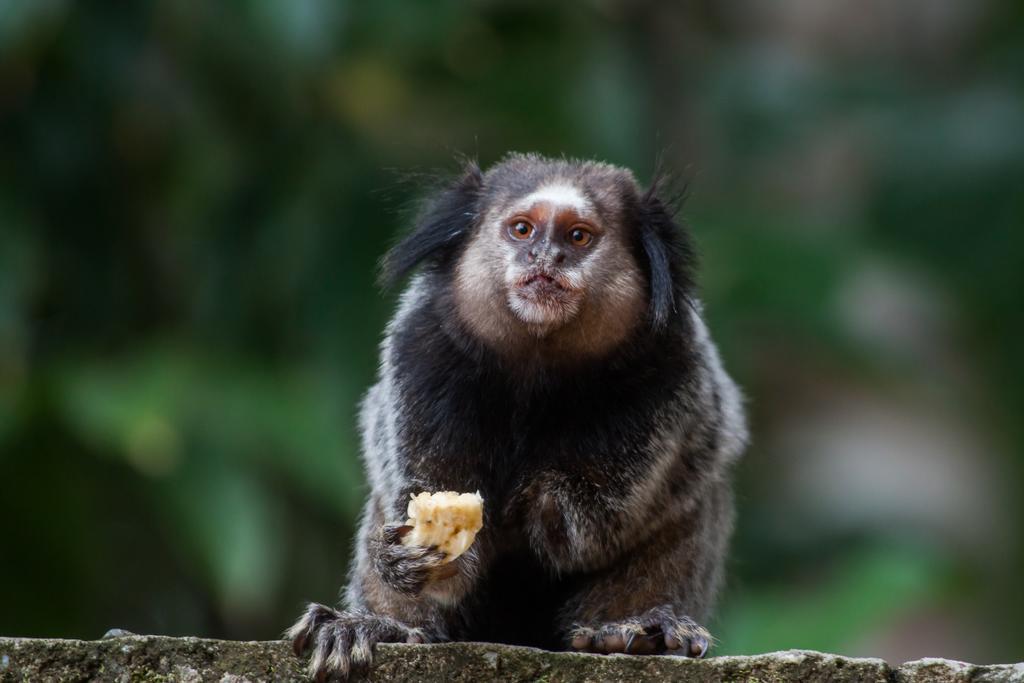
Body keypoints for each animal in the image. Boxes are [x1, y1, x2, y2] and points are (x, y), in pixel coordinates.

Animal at [284, 152, 749, 679]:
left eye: (578, 236)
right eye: (523, 230)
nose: (546, 258)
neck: (537, 366)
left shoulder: (672, 363)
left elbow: (596, 525)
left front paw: (524, 507)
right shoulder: (419, 348)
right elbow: (419, 488)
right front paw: (415, 559)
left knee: (689, 501)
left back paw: (635, 630)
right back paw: (378, 628)